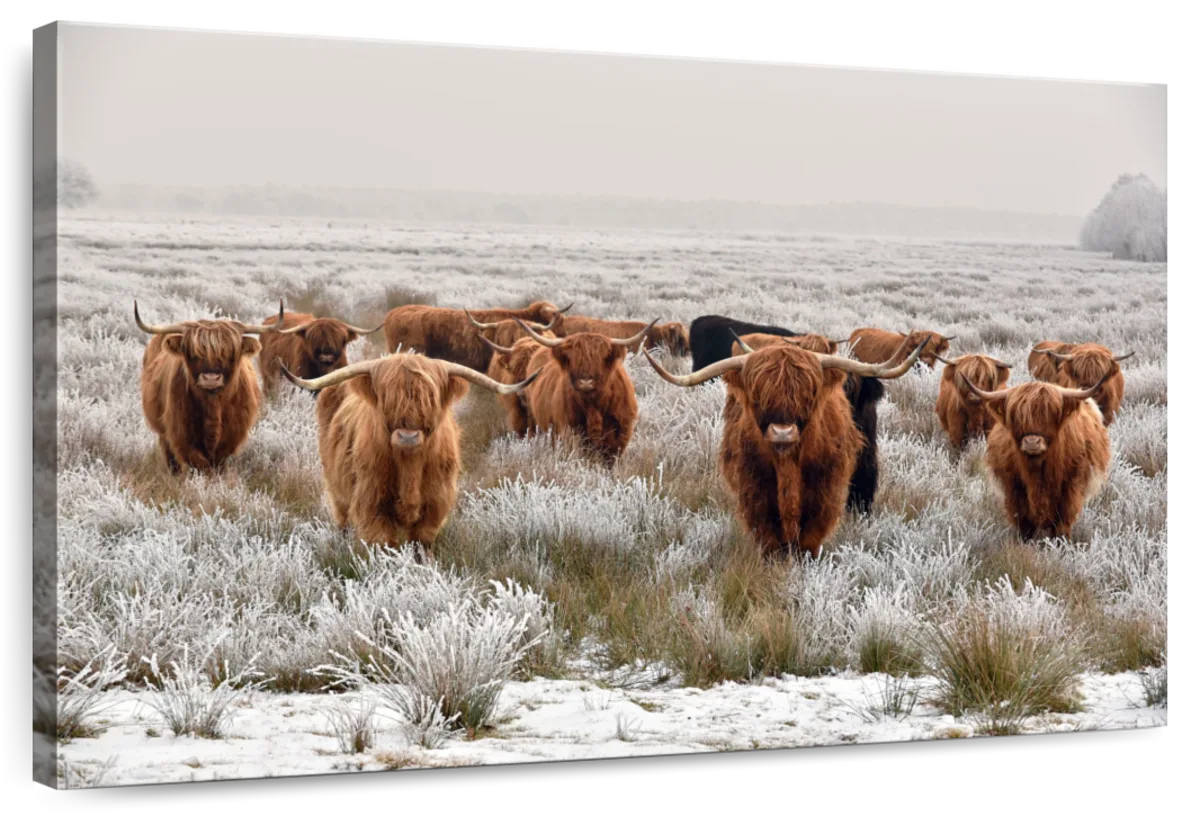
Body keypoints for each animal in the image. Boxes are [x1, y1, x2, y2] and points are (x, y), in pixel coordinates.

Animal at [135, 300, 284, 473]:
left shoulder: (231, 438)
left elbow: (217, 465)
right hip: (163, 433)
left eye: (230, 353)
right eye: (193, 353)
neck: (213, 405)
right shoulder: (182, 435)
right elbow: (200, 464)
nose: (211, 378)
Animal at [280, 351, 542, 559]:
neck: (409, 467)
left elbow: (421, 543)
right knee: (342, 519)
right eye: (387, 398)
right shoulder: (371, 502)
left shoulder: (436, 502)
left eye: (430, 398)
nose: (408, 436)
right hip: (338, 492)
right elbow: (383, 544)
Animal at [511, 317, 659, 465]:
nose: (586, 382)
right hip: (533, 419)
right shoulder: (570, 431)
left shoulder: (619, 436)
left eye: (600, 359)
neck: (593, 406)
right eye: (573, 359)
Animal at [643, 334, 930, 559]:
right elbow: (769, 535)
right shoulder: (754, 489)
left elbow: (810, 536)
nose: (783, 432)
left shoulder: (825, 490)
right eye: (758, 395)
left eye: (809, 393)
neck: (788, 464)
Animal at [962, 372, 1114, 542]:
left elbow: (1062, 522)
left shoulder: (1071, 486)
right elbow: (1024, 522)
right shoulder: (1014, 488)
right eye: (1016, 416)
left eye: (1051, 413)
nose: (1032, 442)